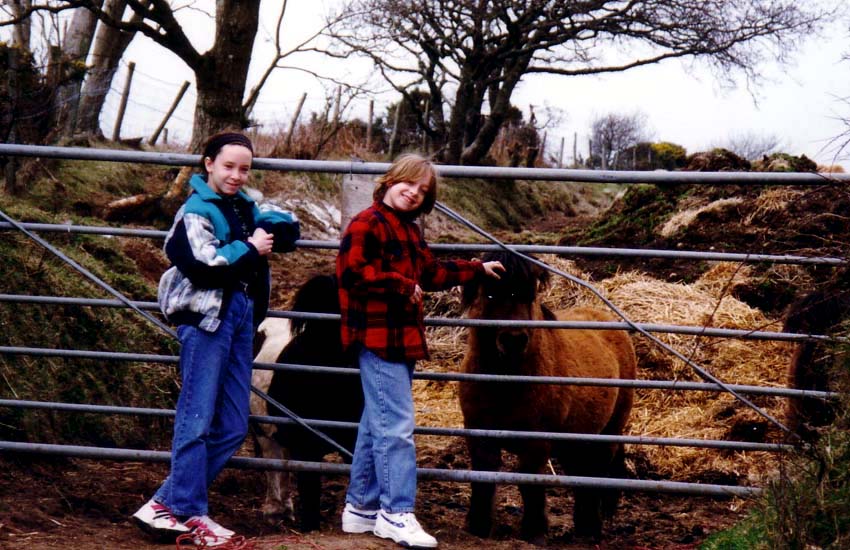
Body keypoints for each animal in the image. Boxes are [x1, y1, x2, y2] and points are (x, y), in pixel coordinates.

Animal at [460, 252, 632, 544]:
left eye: (530, 295)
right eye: (490, 294)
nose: (514, 340)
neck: (506, 382)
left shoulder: (536, 441)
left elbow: (530, 482)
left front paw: (534, 530)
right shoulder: (479, 433)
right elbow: (483, 477)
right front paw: (479, 526)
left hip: (609, 431)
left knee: (596, 472)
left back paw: (591, 529)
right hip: (574, 439)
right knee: (581, 474)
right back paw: (583, 526)